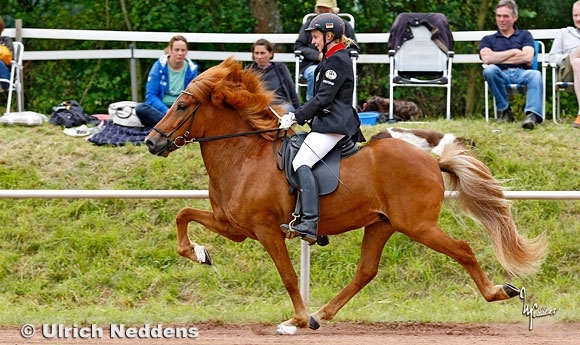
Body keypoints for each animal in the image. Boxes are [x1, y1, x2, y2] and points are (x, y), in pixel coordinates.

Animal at [144, 56, 544, 334]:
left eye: (182, 106)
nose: (151, 142)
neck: (243, 156)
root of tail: (433, 160)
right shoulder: (235, 226)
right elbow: (183, 214)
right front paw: (199, 253)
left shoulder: (267, 231)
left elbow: (288, 276)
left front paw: (295, 320)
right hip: (382, 224)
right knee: (366, 271)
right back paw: (322, 314)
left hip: (418, 225)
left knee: (461, 250)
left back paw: (498, 292)